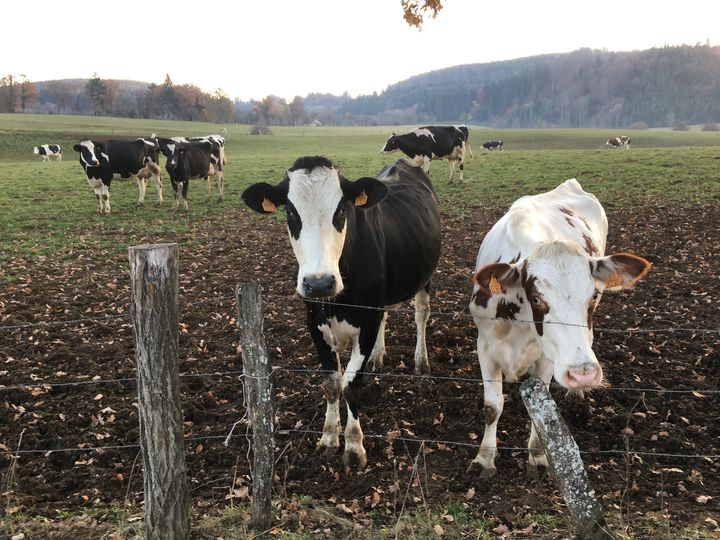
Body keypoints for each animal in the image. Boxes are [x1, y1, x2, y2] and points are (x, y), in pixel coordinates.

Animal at [243, 155, 444, 468]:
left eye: (341, 210)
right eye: (290, 211)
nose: (318, 282)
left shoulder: (368, 319)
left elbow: (351, 383)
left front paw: (353, 446)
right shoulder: (314, 322)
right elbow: (331, 384)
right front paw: (328, 438)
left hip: (425, 277)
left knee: (421, 314)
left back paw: (421, 361)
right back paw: (378, 356)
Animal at [470, 179, 648, 478]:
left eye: (593, 296)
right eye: (536, 297)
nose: (583, 374)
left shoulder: (547, 359)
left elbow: (541, 409)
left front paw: (537, 457)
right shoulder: (485, 347)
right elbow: (492, 407)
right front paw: (485, 458)